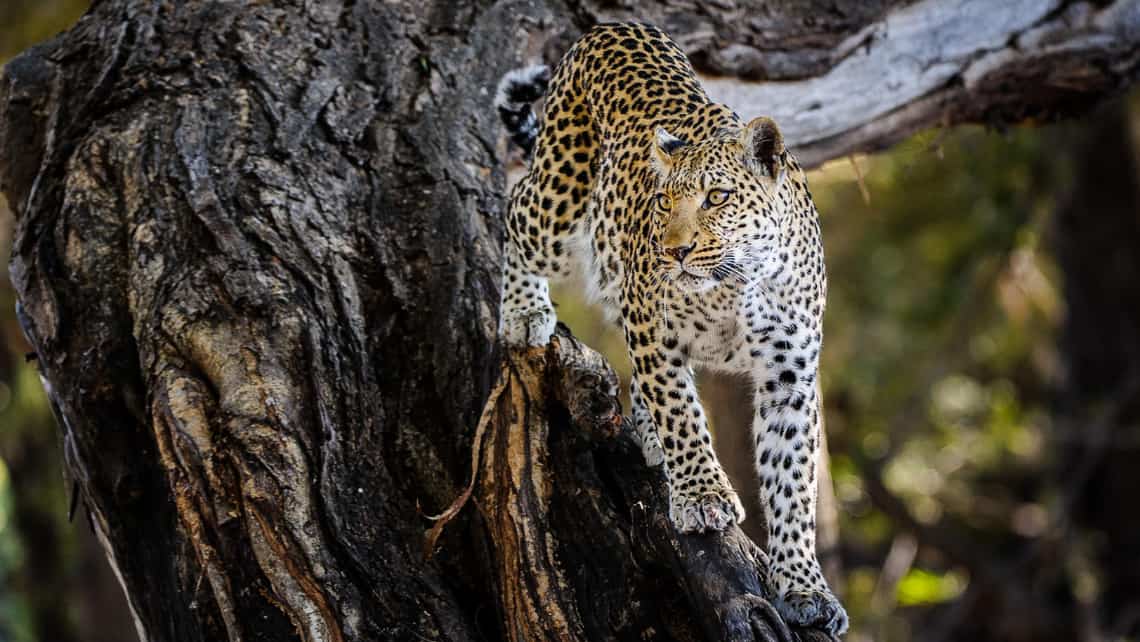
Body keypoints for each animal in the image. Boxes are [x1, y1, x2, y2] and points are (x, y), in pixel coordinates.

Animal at [497, 22, 848, 634]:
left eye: (718, 197)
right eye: (664, 201)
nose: (674, 251)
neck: (739, 279)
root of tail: (611, 26)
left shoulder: (791, 373)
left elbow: (791, 480)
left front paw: (805, 586)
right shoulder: (652, 329)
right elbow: (682, 413)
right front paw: (703, 495)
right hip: (559, 206)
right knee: (517, 207)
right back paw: (522, 312)